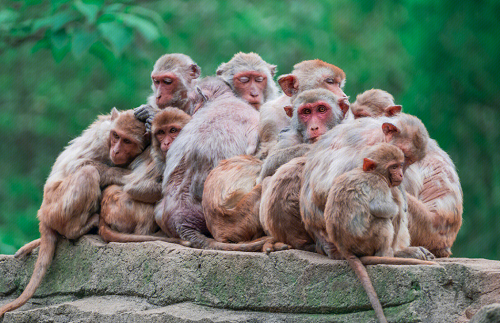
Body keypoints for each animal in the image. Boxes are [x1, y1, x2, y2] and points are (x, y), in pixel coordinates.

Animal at [0, 108, 148, 316]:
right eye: (115, 136)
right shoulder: (101, 139)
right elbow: (77, 164)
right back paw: (76, 230)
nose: (116, 150)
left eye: (127, 141)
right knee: (88, 173)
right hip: (57, 207)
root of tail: (42, 215)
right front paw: (123, 175)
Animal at [98, 107, 192, 244]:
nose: (166, 143)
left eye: (173, 130)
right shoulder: (159, 162)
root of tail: (102, 216)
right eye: (162, 133)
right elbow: (134, 187)